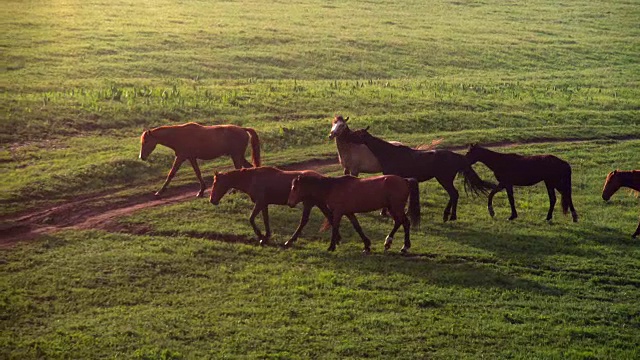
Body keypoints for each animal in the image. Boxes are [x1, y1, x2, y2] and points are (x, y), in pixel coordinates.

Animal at [211, 167, 340, 246]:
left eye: (216, 183)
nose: (212, 200)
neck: (252, 178)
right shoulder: (264, 204)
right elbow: (266, 219)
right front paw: (266, 236)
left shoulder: (260, 203)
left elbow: (251, 219)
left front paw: (260, 235)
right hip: (317, 204)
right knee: (329, 217)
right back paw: (337, 239)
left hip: (309, 204)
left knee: (305, 221)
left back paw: (290, 241)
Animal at [286, 174, 420, 253]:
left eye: (294, 188)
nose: (289, 203)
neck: (331, 187)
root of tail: (405, 180)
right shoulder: (349, 213)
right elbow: (357, 227)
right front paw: (366, 245)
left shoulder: (338, 212)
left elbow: (335, 228)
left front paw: (331, 246)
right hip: (392, 208)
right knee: (398, 222)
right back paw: (388, 242)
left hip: (397, 208)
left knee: (405, 223)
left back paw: (404, 246)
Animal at [342, 126, 492, 222]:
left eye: (356, 133)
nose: (346, 136)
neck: (390, 153)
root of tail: (456, 156)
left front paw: (384, 212)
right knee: (453, 195)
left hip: (444, 180)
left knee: (454, 194)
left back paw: (450, 216)